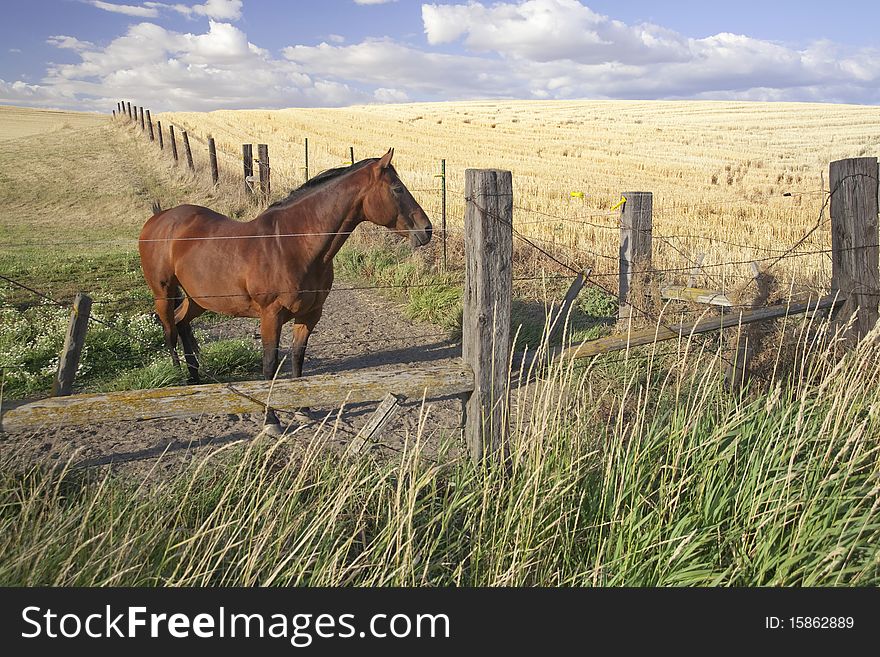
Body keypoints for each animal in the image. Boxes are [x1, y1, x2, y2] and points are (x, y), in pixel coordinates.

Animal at [138, 146, 434, 428]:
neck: (294, 244)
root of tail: (159, 218)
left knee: (181, 323)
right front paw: (271, 420)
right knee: (169, 330)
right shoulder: (271, 315)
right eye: (397, 188)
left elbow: (297, 360)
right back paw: (178, 380)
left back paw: (196, 379)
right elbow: (270, 366)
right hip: (163, 293)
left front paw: (302, 410)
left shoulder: (309, 315)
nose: (427, 230)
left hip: (198, 299)